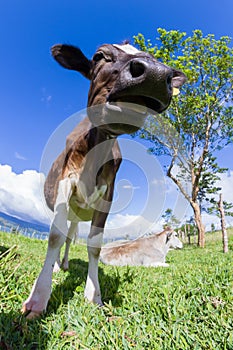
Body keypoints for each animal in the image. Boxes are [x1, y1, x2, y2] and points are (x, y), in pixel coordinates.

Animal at [21, 40, 186, 318]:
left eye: (153, 58)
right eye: (100, 56)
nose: (154, 74)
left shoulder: (107, 194)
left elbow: (94, 245)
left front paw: (93, 294)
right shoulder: (66, 181)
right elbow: (54, 236)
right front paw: (38, 297)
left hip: (78, 215)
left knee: (71, 236)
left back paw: (65, 263)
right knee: (63, 234)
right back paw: (58, 266)